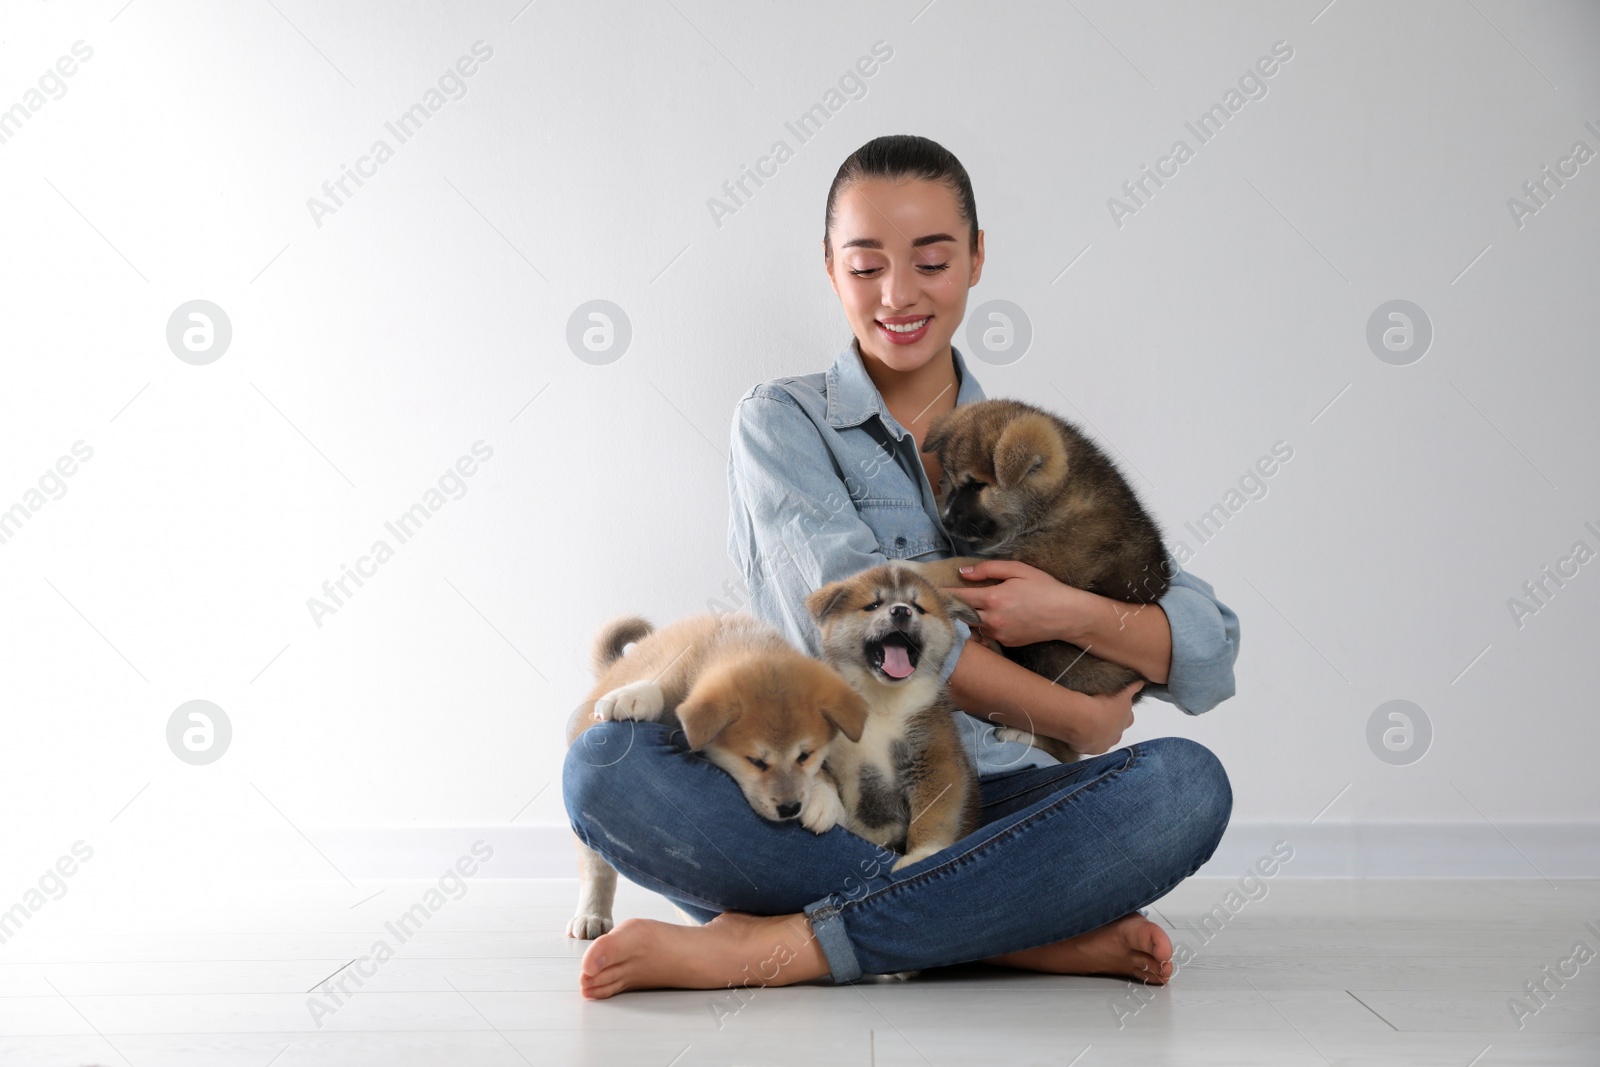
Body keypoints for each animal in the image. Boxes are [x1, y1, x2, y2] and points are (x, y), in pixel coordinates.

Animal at [806, 563, 979, 870]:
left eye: (918, 607)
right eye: (873, 604)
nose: (901, 611)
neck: (878, 702)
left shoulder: (934, 758)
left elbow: (933, 816)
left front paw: (921, 855)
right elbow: (816, 771)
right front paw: (822, 803)